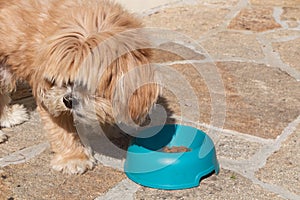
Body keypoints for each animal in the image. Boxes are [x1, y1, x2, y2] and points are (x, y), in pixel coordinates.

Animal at [0, 0, 159, 174]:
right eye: (59, 80)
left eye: (85, 85)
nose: (69, 100)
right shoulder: (50, 98)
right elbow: (64, 129)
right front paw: (74, 158)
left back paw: (9, 116)